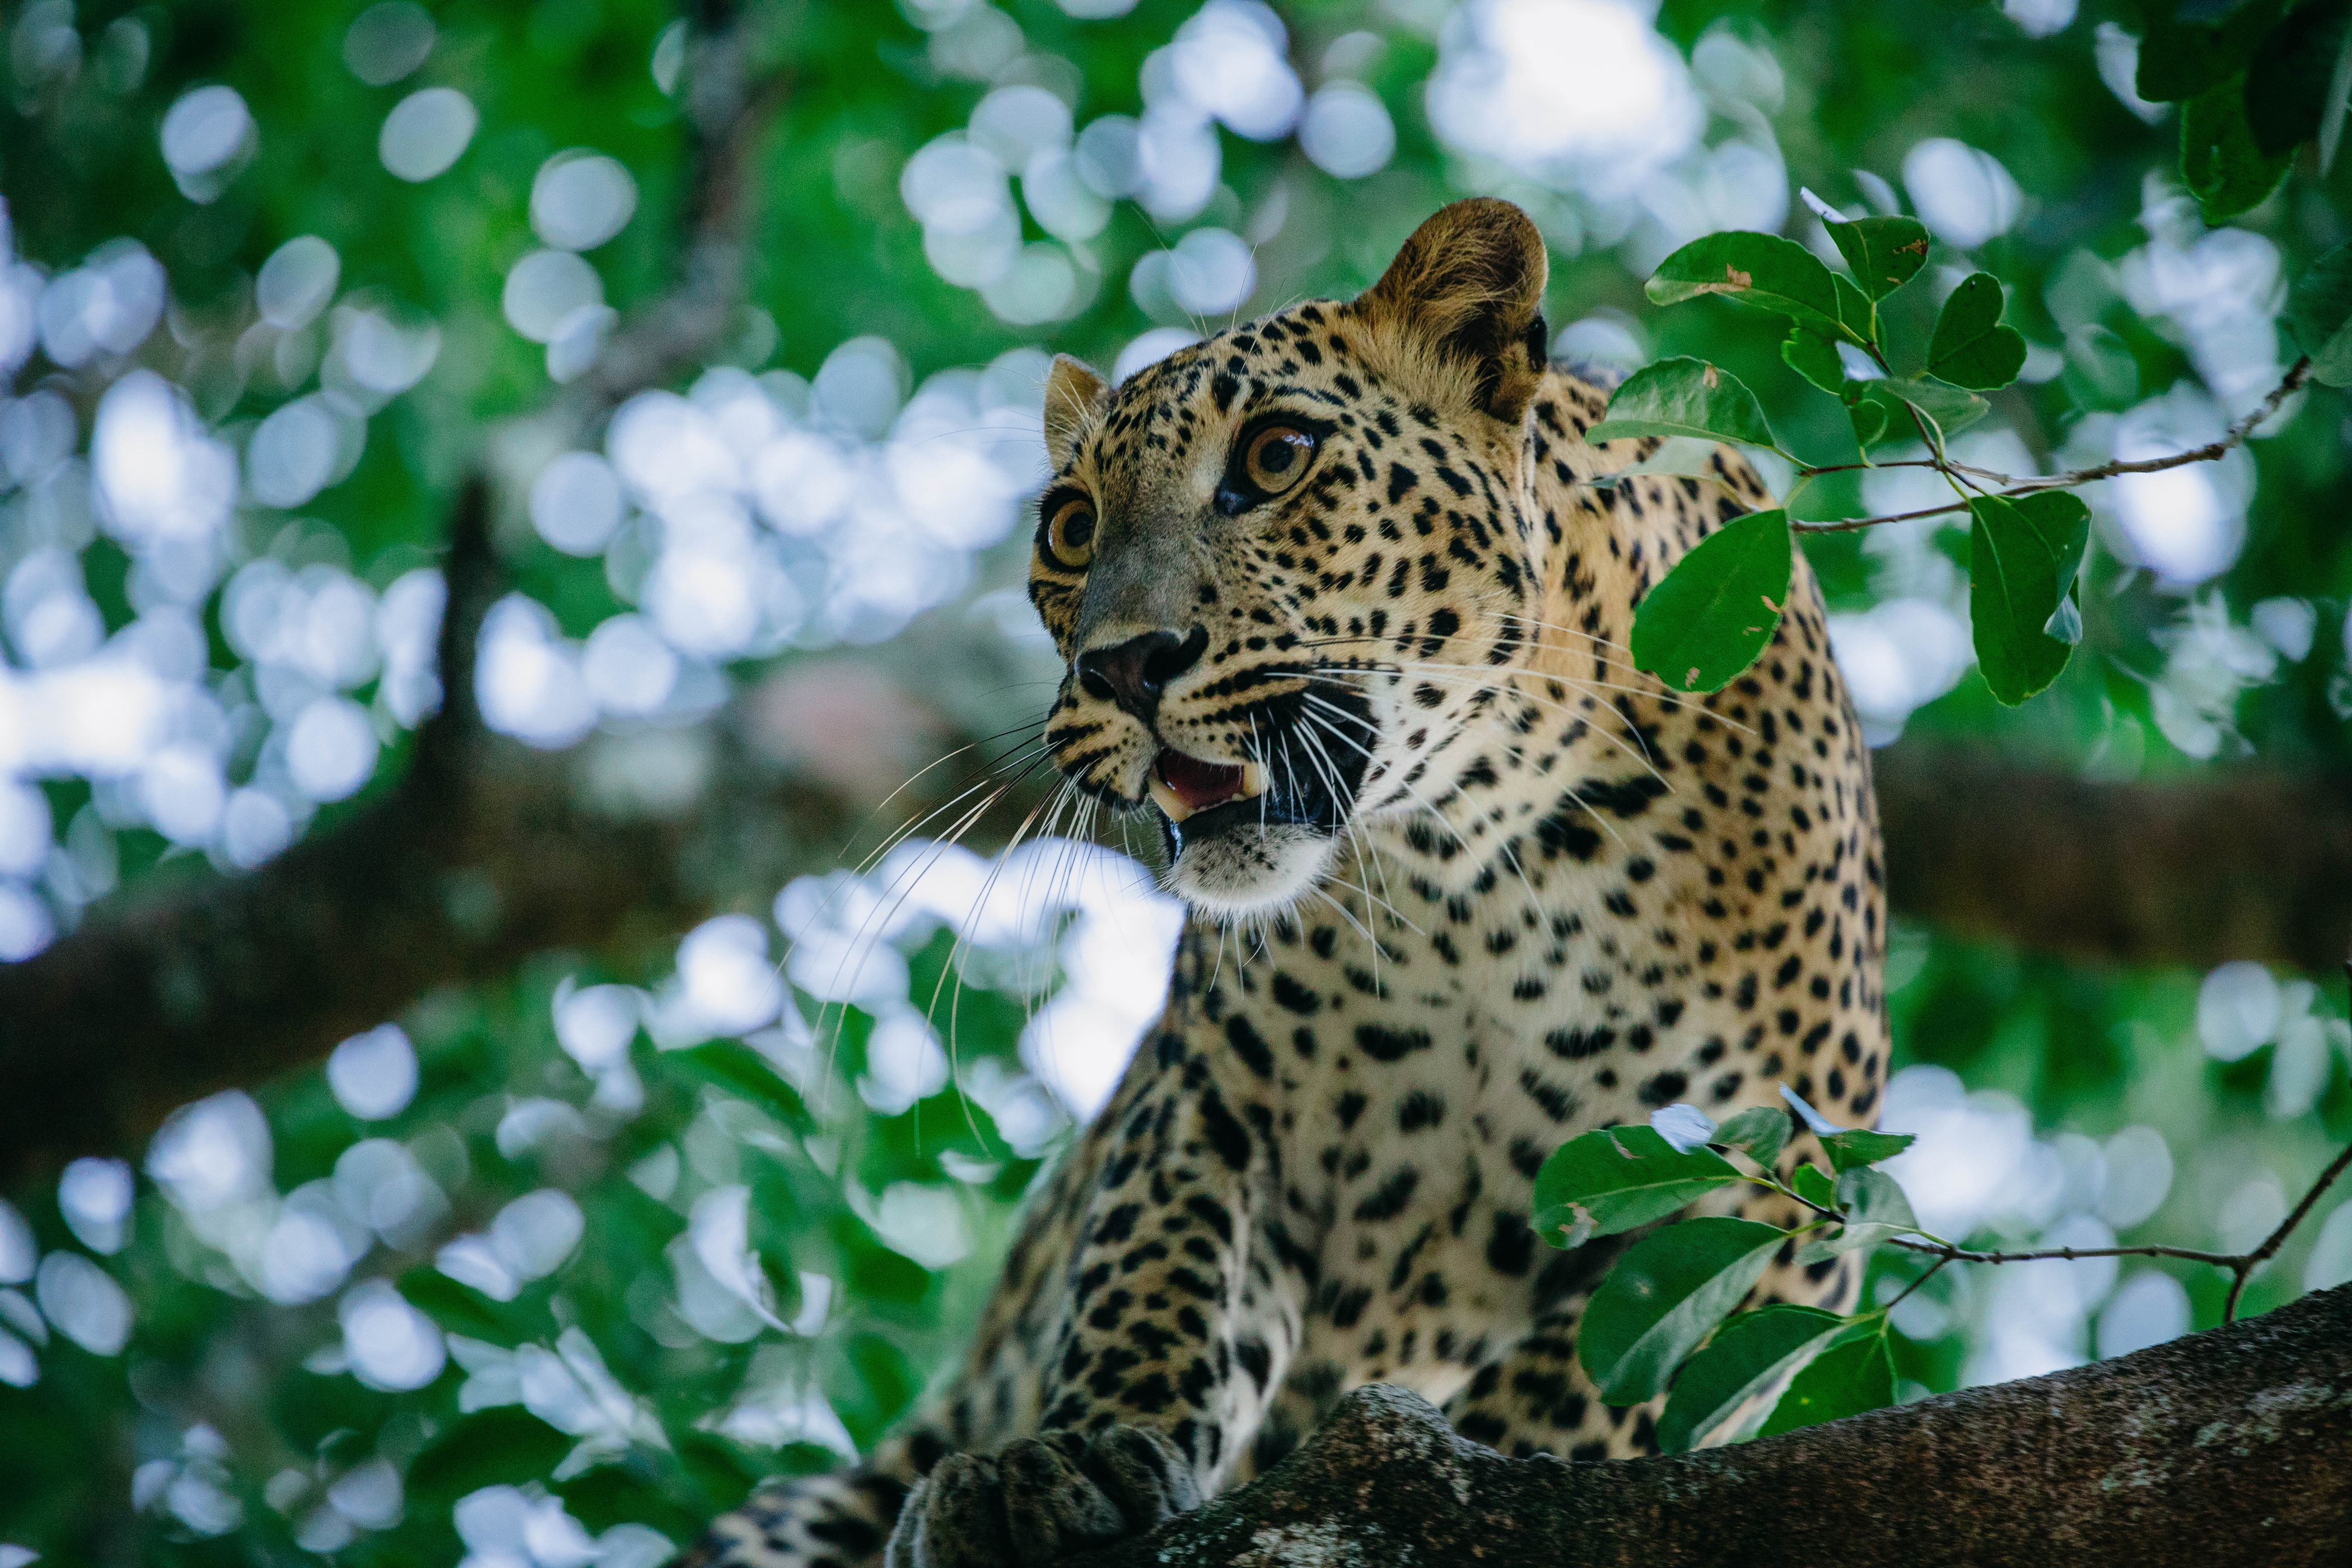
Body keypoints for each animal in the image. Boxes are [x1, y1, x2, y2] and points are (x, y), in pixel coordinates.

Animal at [673, 199, 1881, 1568]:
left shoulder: (1786, 1177)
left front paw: (1503, 1465)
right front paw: (1069, 1454)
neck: (1478, 866)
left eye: (1278, 454)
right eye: (1072, 526)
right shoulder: (1210, 1097)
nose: (1124, 665)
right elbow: (1153, 1272)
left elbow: (1605, 1367)